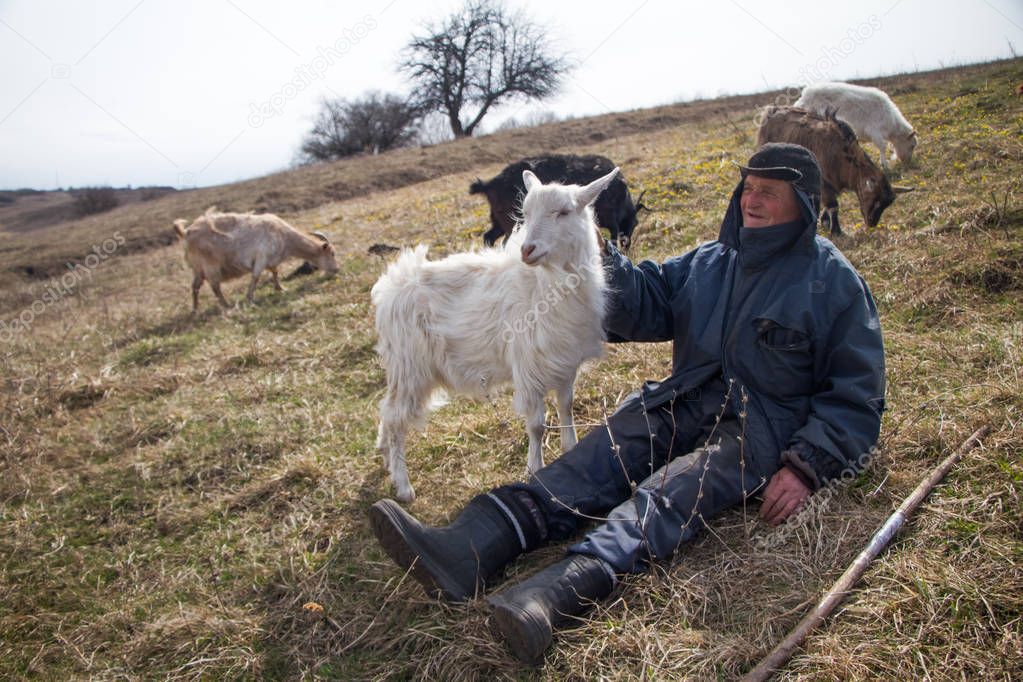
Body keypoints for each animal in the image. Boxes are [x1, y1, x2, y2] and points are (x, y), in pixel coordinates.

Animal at [173, 209, 337, 312]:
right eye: (332, 253)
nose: (337, 269)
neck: (284, 235)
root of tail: (186, 232)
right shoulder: (261, 258)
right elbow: (256, 277)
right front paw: (250, 299)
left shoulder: (271, 260)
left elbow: (275, 272)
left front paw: (280, 288)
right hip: (210, 265)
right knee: (215, 287)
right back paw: (227, 306)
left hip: (198, 269)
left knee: (195, 286)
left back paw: (195, 309)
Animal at [374, 168, 613, 505]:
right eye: (525, 213)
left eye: (564, 212)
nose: (527, 250)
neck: (546, 284)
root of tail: (390, 288)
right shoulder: (528, 367)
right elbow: (537, 426)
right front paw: (535, 469)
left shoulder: (564, 362)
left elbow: (566, 405)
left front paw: (571, 448)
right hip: (411, 367)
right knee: (396, 418)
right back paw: (404, 486)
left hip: (403, 369)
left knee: (387, 409)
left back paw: (385, 456)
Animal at [468, 154, 642, 250]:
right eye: (634, 223)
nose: (628, 246)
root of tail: (491, 183)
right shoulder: (610, 216)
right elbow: (614, 233)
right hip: (512, 223)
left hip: (499, 221)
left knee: (489, 237)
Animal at [752, 105, 896, 236]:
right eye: (876, 201)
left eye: (885, 204)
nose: (871, 223)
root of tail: (772, 110)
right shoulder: (824, 182)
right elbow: (833, 206)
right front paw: (835, 230)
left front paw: (824, 221)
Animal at [789, 81, 920, 169]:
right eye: (912, 145)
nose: (908, 162)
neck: (892, 122)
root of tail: (803, 97)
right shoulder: (875, 132)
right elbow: (882, 147)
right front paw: (885, 165)